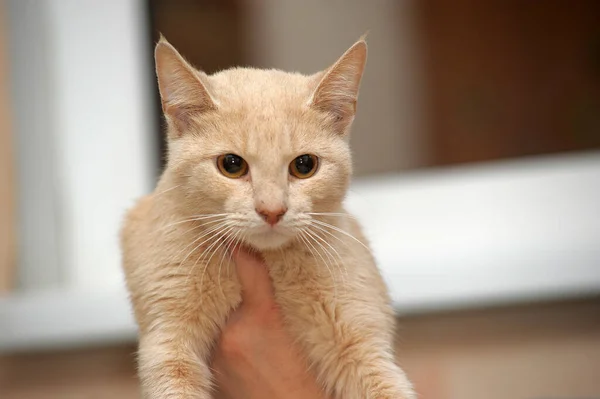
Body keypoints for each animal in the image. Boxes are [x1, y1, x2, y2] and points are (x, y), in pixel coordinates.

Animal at [120, 35, 414, 399]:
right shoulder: (168, 339)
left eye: (305, 165)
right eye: (231, 165)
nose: (272, 210)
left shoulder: (362, 340)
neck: (269, 262)